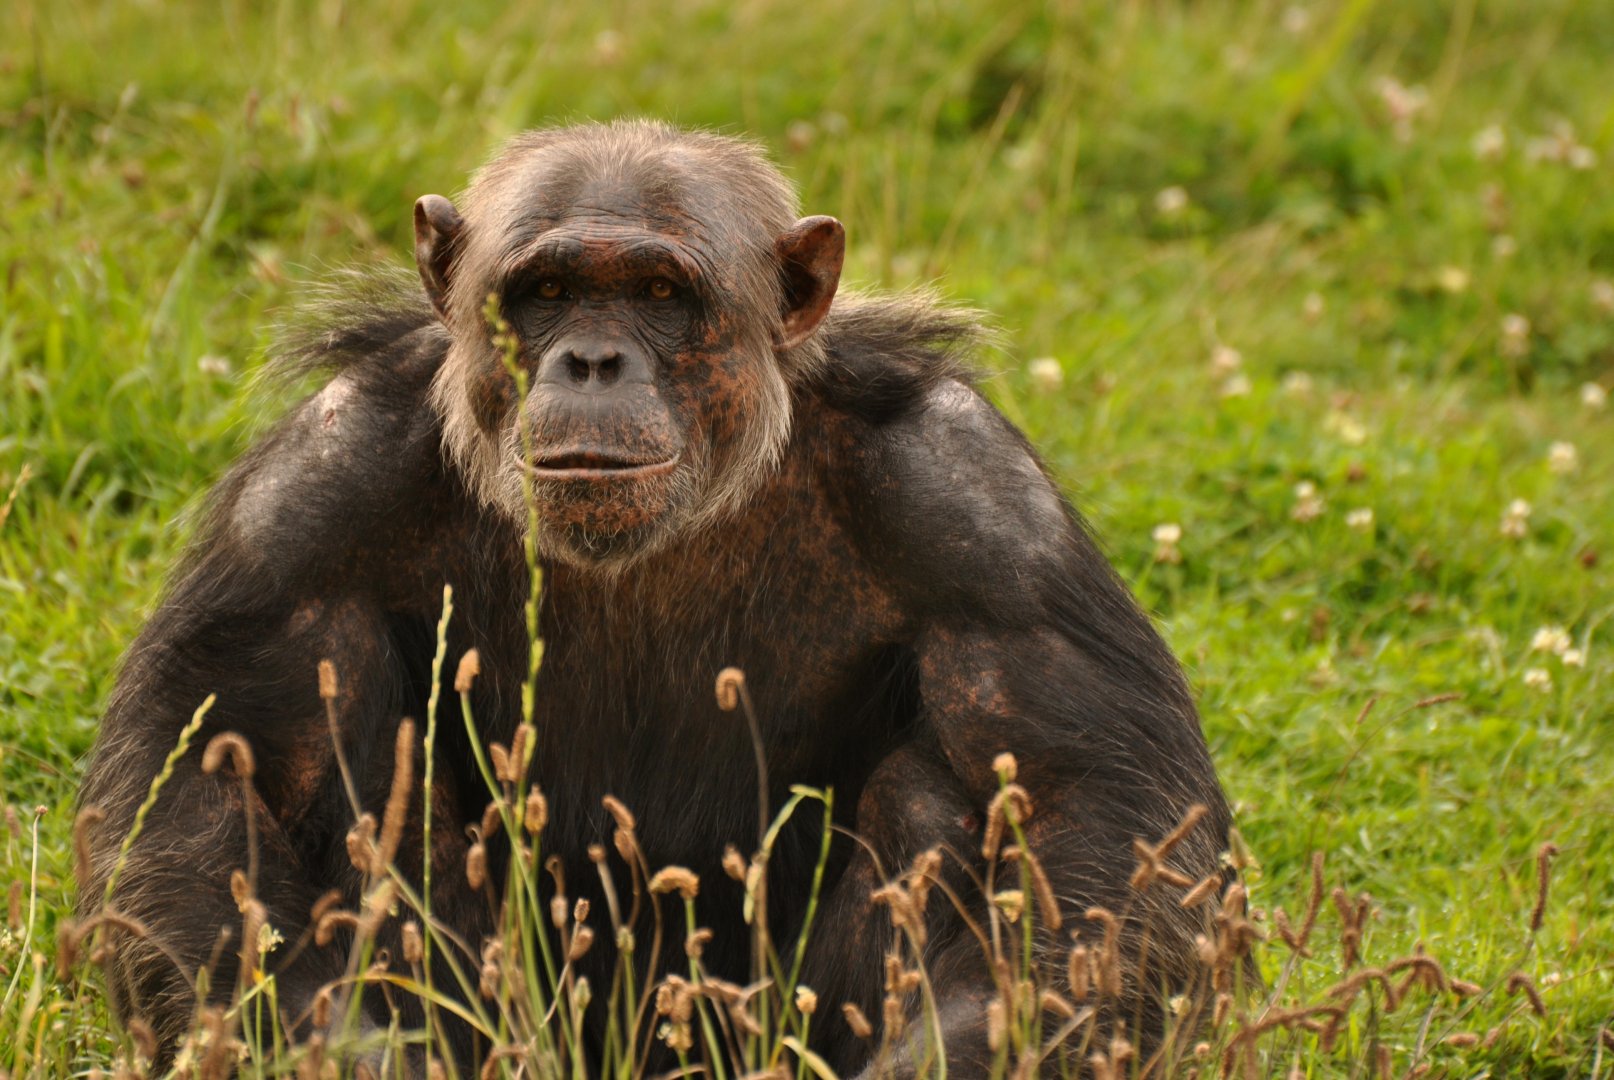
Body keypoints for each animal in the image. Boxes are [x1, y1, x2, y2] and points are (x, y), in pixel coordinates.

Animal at [77, 120, 1233, 1076]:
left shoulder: (984, 514)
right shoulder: (312, 494)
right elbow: (214, 798)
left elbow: (1092, 824)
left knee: (933, 793)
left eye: (662, 295)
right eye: (545, 294)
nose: (593, 359)